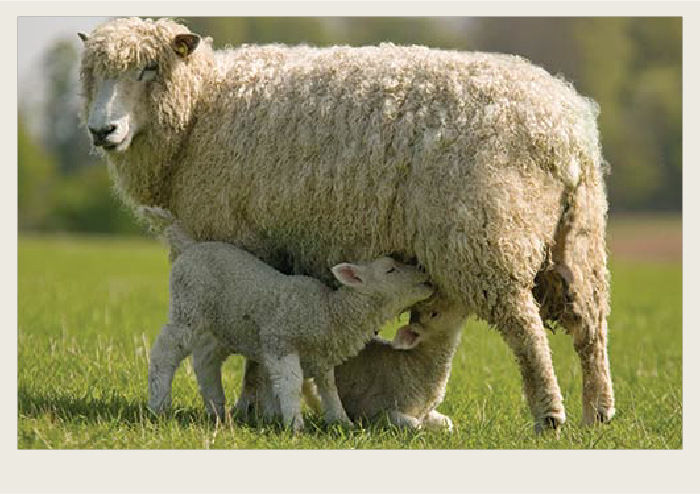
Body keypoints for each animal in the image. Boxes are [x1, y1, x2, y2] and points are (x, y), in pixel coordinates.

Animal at [140, 206, 434, 430]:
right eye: (390, 269)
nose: (425, 275)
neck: (328, 312)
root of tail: (190, 246)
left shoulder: (321, 358)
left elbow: (330, 389)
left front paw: (342, 422)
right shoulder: (281, 341)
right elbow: (291, 383)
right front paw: (294, 424)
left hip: (221, 323)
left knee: (205, 359)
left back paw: (217, 410)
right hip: (187, 308)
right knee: (165, 352)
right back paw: (158, 406)